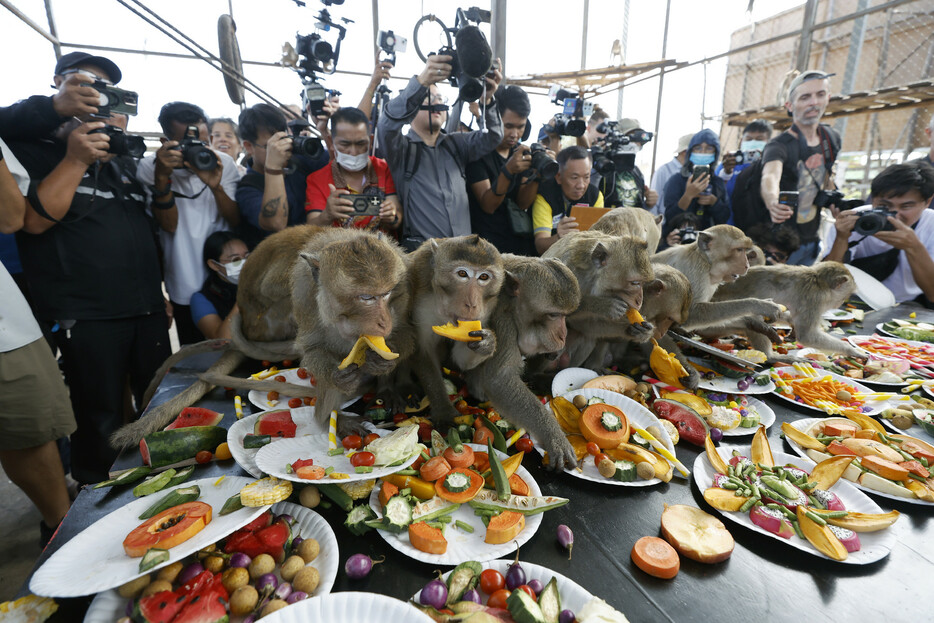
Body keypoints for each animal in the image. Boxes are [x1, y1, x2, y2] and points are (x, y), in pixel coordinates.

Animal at [468, 256, 584, 470]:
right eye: (553, 315)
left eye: (565, 315)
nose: (563, 335)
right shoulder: (502, 318)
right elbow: (501, 379)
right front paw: (553, 436)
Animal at [540, 234, 660, 370]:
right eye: (635, 283)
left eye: (643, 283)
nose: (640, 301)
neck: (592, 275)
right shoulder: (565, 271)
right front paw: (603, 305)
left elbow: (583, 325)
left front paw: (638, 331)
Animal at [656, 223, 788, 332]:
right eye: (739, 250)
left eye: (745, 250)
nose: (747, 265)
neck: (706, 262)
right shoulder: (695, 269)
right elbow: (690, 313)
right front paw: (760, 305)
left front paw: (753, 321)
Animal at [712, 264, 868, 360]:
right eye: (845, 296)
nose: (841, 303)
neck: (818, 281)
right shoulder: (815, 299)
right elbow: (807, 336)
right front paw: (851, 350)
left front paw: (792, 324)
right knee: (753, 319)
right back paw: (772, 357)